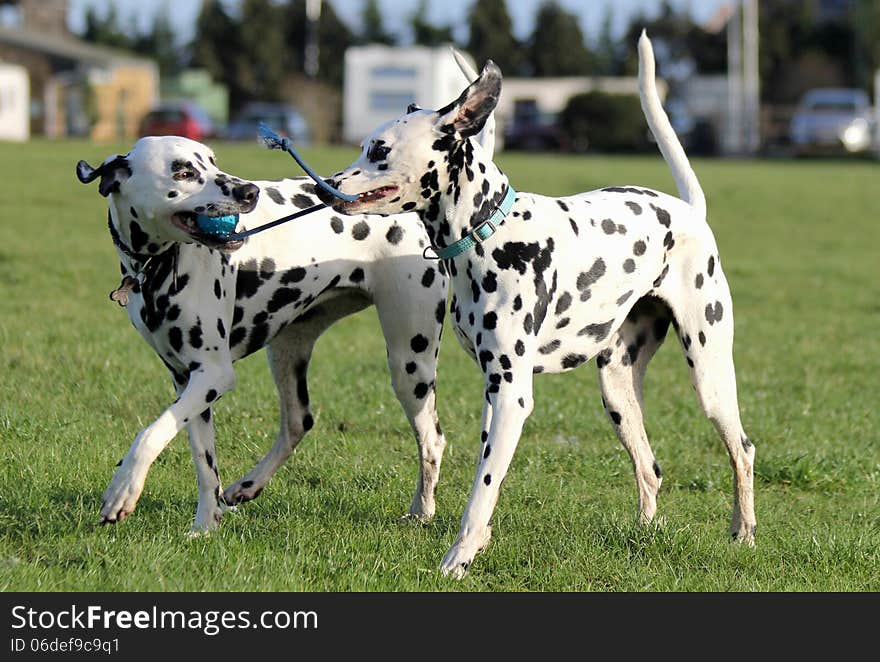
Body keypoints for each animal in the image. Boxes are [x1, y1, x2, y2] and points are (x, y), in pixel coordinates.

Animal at [324, 32, 756, 580]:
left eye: (379, 150)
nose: (324, 184)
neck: (488, 231)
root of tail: (688, 212)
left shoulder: (512, 396)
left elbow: (481, 494)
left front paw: (459, 556)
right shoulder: (493, 392)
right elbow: (485, 476)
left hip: (710, 376)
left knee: (742, 450)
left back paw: (744, 532)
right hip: (618, 392)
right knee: (650, 468)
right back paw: (646, 531)